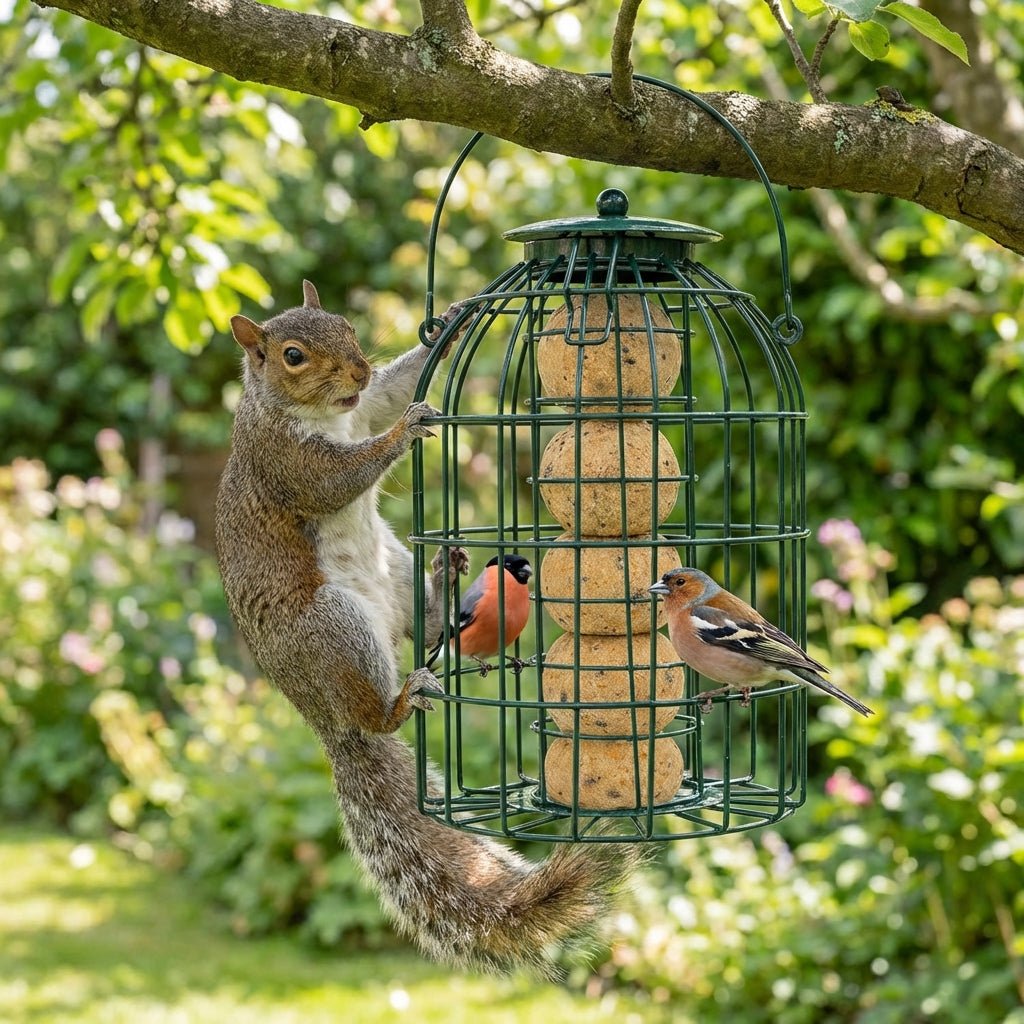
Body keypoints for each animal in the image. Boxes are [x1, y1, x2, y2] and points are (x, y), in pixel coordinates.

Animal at [215, 281, 639, 976]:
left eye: (347, 325)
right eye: (292, 355)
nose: (357, 370)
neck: (324, 415)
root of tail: (323, 719)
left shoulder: (361, 410)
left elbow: (390, 391)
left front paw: (461, 314)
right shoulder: (286, 462)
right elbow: (339, 477)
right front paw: (407, 429)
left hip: (398, 577)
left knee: (432, 629)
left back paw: (445, 581)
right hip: (334, 628)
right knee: (378, 710)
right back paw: (401, 698)